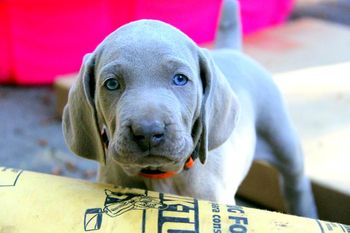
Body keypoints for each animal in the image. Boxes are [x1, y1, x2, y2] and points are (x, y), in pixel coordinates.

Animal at [62, 19, 318, 218]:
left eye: (180, 79)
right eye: (112, 84)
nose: (148, 131)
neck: (159, 175)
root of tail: (232, 51)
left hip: (282, 138)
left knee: (295, 183)